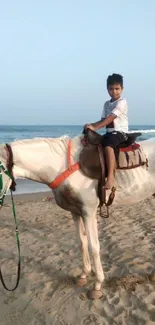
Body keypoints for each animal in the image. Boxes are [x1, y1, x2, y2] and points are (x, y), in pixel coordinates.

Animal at [0, 133, 155, 298]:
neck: (61, 167)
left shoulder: (88, 212)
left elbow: (94, 246)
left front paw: (97, 284)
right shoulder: (75, 212)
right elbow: (82, 242)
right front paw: (84, 275)